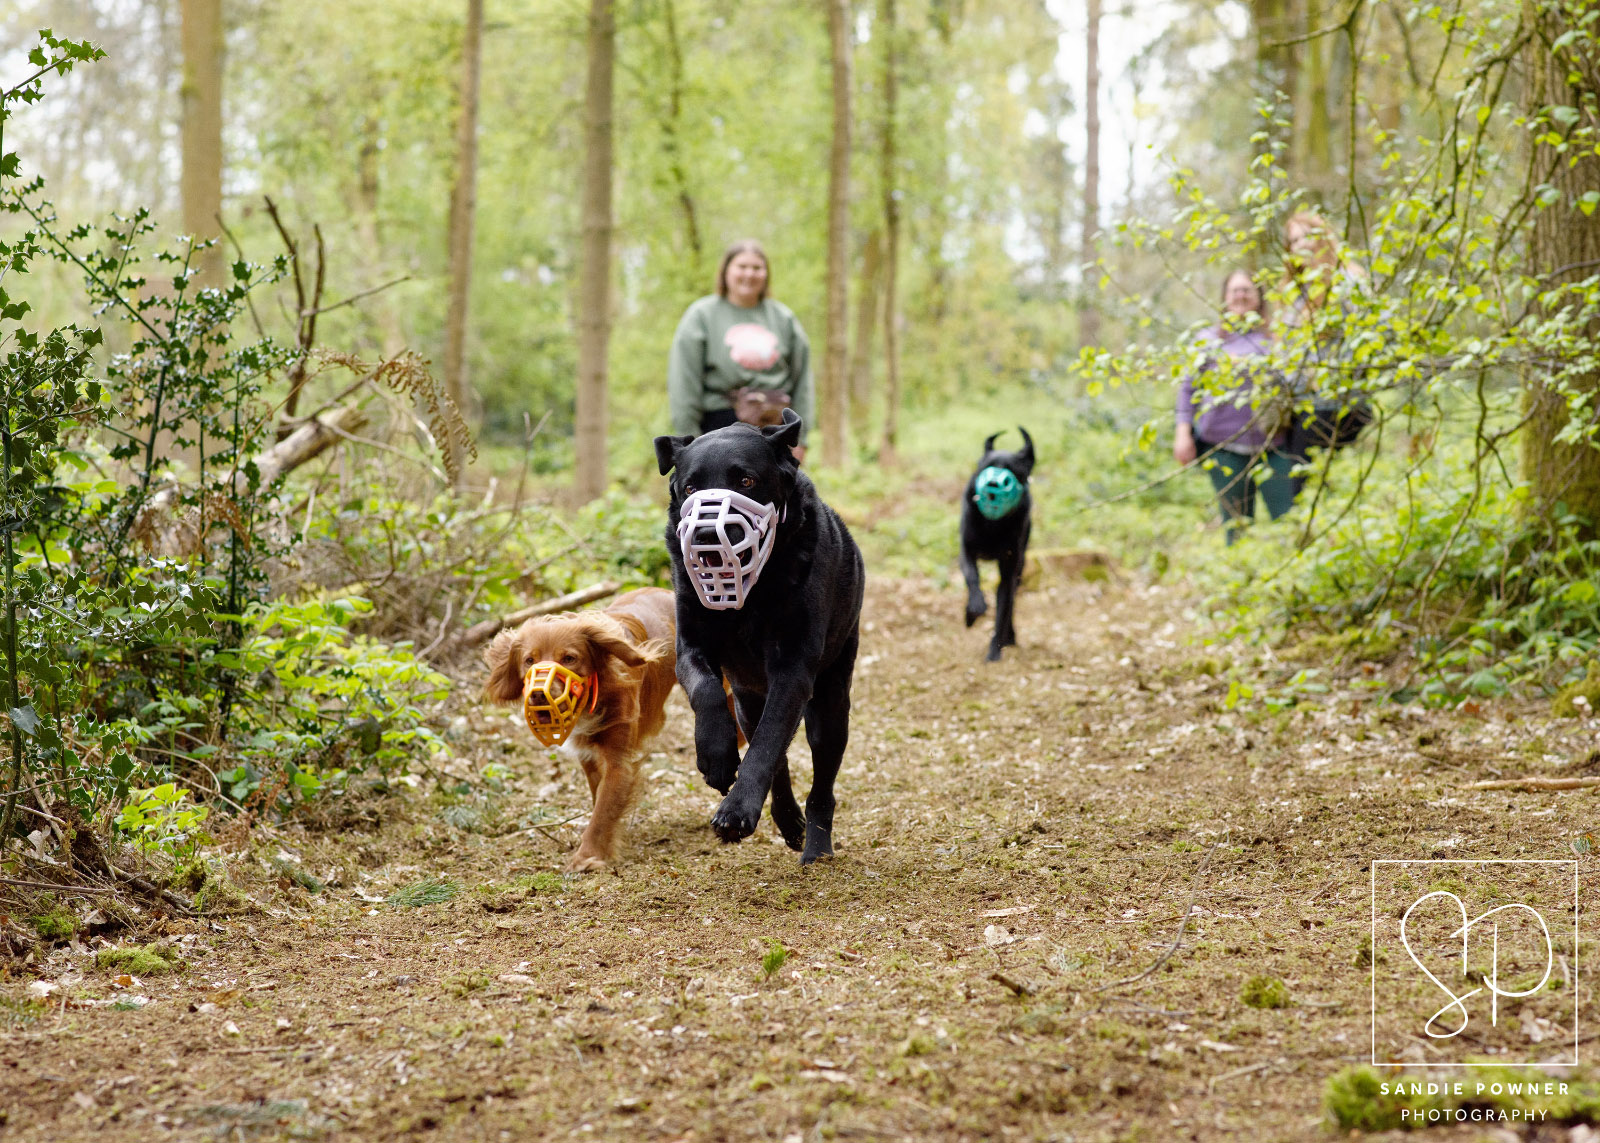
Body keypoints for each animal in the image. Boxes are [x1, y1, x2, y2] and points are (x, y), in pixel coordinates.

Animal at [953, 425, 1030, 659]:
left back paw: (1010, 637)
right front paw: (973, 611)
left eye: (1011, 470)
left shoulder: (1010, 568)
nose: (993, 484)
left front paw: (995, 651)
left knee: (1011, 601)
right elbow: (972, 579)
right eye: (987, 466)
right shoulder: (966, 551)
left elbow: (1003, 608)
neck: (992, 525)